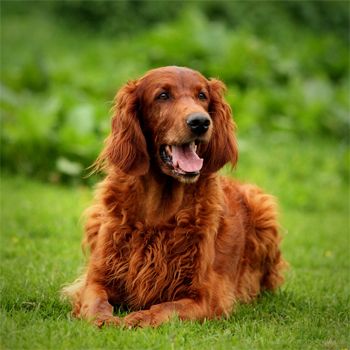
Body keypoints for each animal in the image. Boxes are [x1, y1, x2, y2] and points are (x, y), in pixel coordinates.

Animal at [63, 66, 286, 328]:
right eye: (163, 95)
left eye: (202, 96)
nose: (200, 122)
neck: (158, 212)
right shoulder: (97, 279)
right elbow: (95, 302)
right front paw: (105, 319)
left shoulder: (205, 296)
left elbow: (165, 309)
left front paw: (136, 319)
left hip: (262, 204)